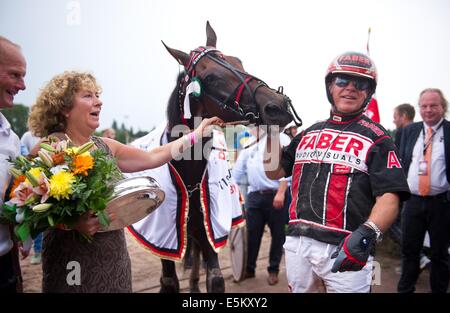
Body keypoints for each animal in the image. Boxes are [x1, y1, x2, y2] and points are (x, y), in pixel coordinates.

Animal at [129, 20, 298, 292]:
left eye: (238, 61)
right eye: (210, 77)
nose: (278, 106)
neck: (188, 174)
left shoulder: (209, 227)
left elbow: (215, 277)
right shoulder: (163, 238)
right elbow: (168, 280)